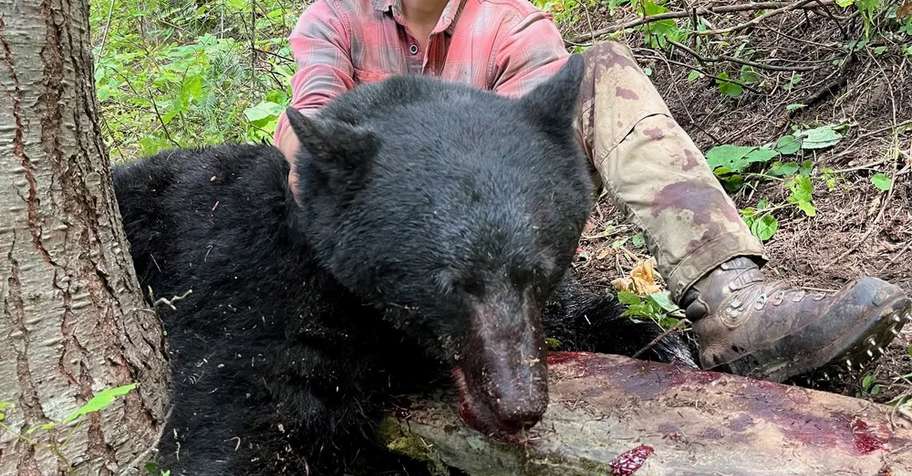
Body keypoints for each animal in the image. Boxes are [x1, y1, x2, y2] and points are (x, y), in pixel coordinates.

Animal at [113, 55, 694, 475]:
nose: (519, 406)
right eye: (450, 284)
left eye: (540, 268)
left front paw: (660, 341)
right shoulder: (250, 293)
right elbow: (242, 428)